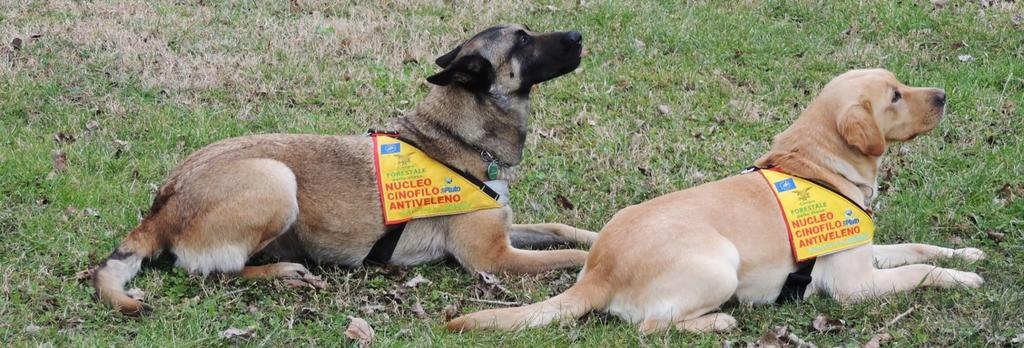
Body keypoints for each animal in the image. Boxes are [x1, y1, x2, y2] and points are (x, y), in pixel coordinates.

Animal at [95, 25, 598, 315]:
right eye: (523, 40)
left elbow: (561, 229)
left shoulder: (507, 230)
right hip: (277, 180)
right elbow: (573, 257)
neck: (457, 135)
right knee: (211, 271)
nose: (578, 34)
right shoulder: (493, 258)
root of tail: (161, 206)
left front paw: (597, 233)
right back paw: (283, 272)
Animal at [446, 68, 983, 331]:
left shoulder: (865, 252)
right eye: (894, 96)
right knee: (651, 328)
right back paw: (719, 322)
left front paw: (967, 253)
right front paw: (963, 277)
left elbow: (916, 249)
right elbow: (920, 271)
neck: (818, 163)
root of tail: (597, 271)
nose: (943, 95)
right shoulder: (854, 284)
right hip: (720, 265)